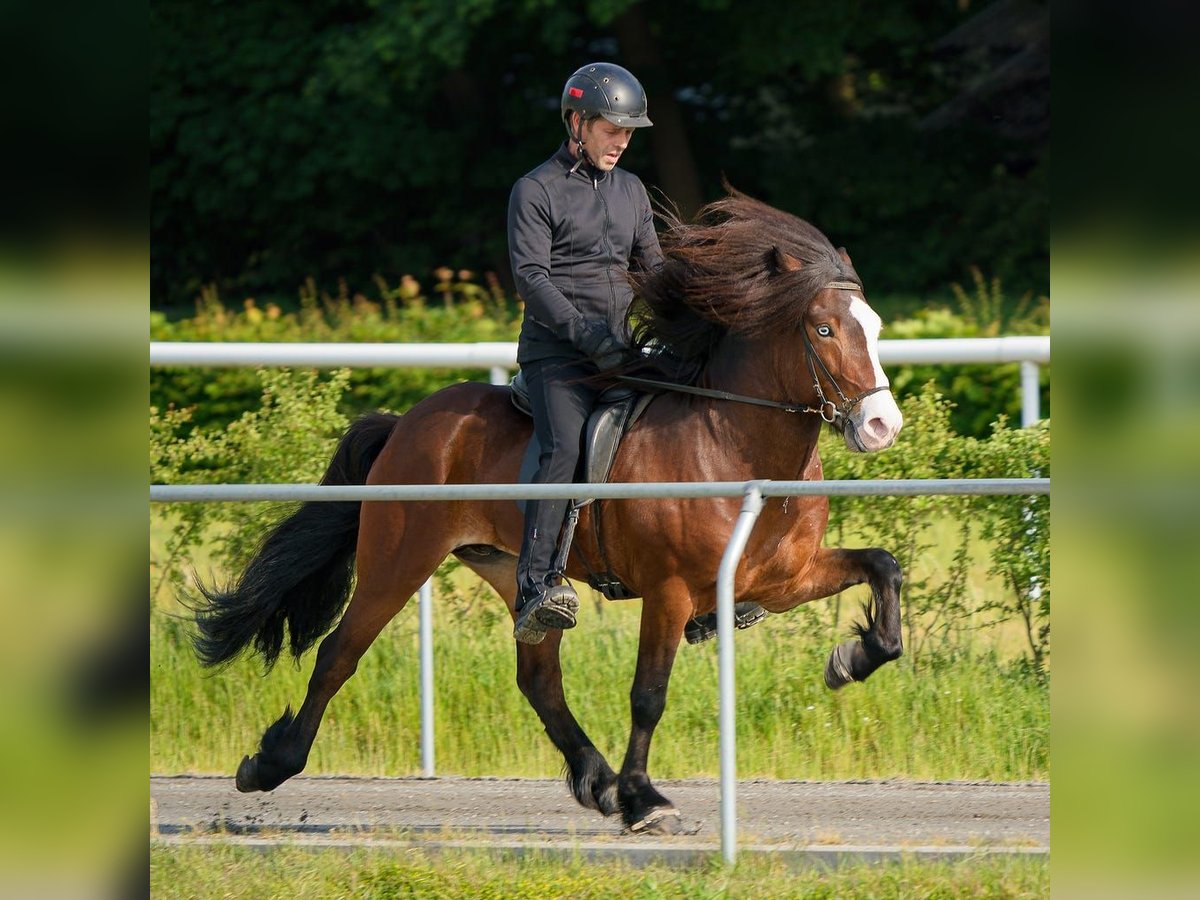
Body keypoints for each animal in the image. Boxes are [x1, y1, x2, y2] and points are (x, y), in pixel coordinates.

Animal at [189, 190, 902, 840]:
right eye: (824, 329)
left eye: (874, 327)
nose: (881, 425)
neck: (730, 442)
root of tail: (407, 423)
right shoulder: (669, 591)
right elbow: (649, 695)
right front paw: (647, 800)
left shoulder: (782, 579)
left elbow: (884, 569)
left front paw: (853, 658)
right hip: (399, 560)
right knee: (340, 653)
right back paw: (269, 764)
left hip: (518, 573)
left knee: (537, 676)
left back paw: (598, 780)